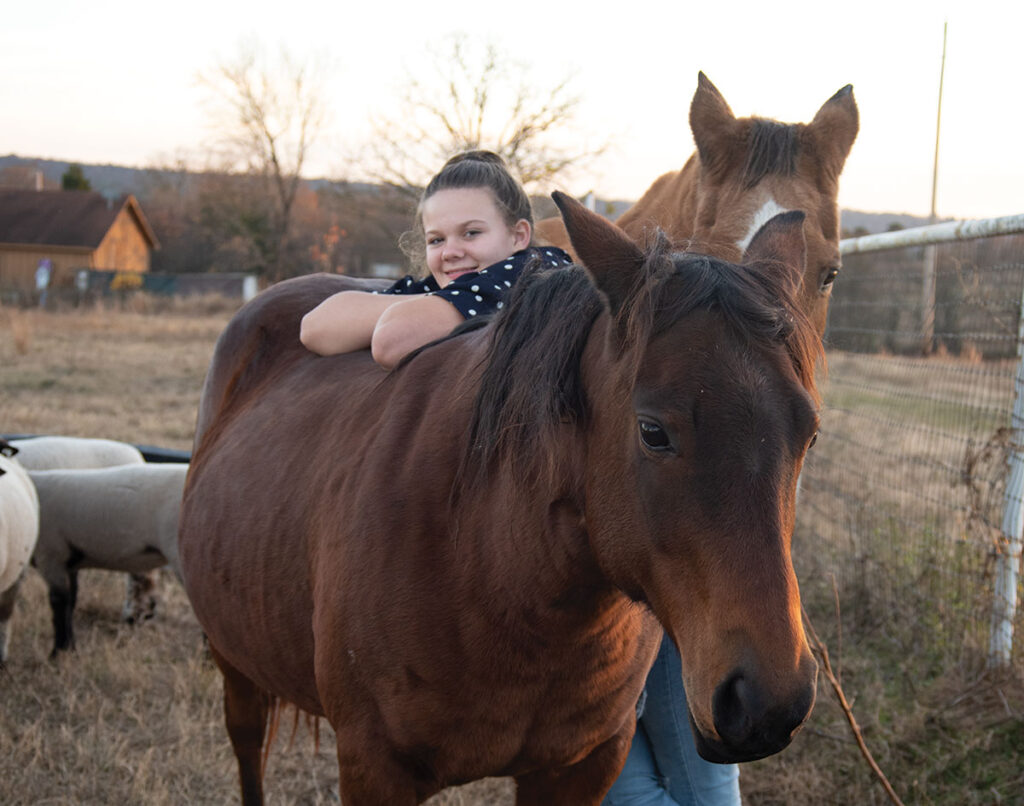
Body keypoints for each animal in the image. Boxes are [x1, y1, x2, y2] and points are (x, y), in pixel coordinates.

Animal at [28, 460, 187, 655]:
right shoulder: (69, 563)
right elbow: (71, 602)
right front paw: (71, 648)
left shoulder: (51, 555)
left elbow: (59, 603)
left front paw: (58, 652)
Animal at [178, 195, 823, 806]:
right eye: (653, 431)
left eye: (810, 434)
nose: (768, 702)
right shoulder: (373, 767)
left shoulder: (583, 767)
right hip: (234, 662)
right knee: (248, 746)